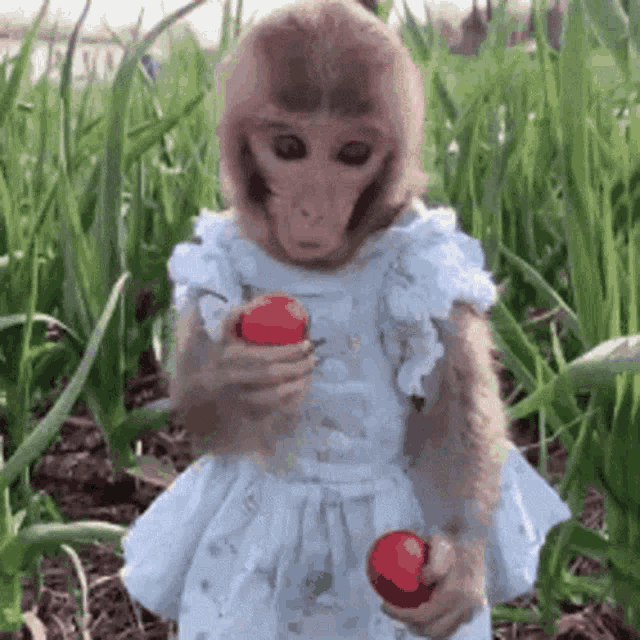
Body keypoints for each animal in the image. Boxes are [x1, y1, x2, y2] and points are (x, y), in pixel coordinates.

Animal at [119, 1, 572, 638]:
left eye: (352, 155)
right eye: (289, 147)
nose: (312, 207)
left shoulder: (428, 255)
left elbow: (456, 406)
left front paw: (460, 560)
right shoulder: (214, 252)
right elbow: (208, 411)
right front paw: (240, 377)